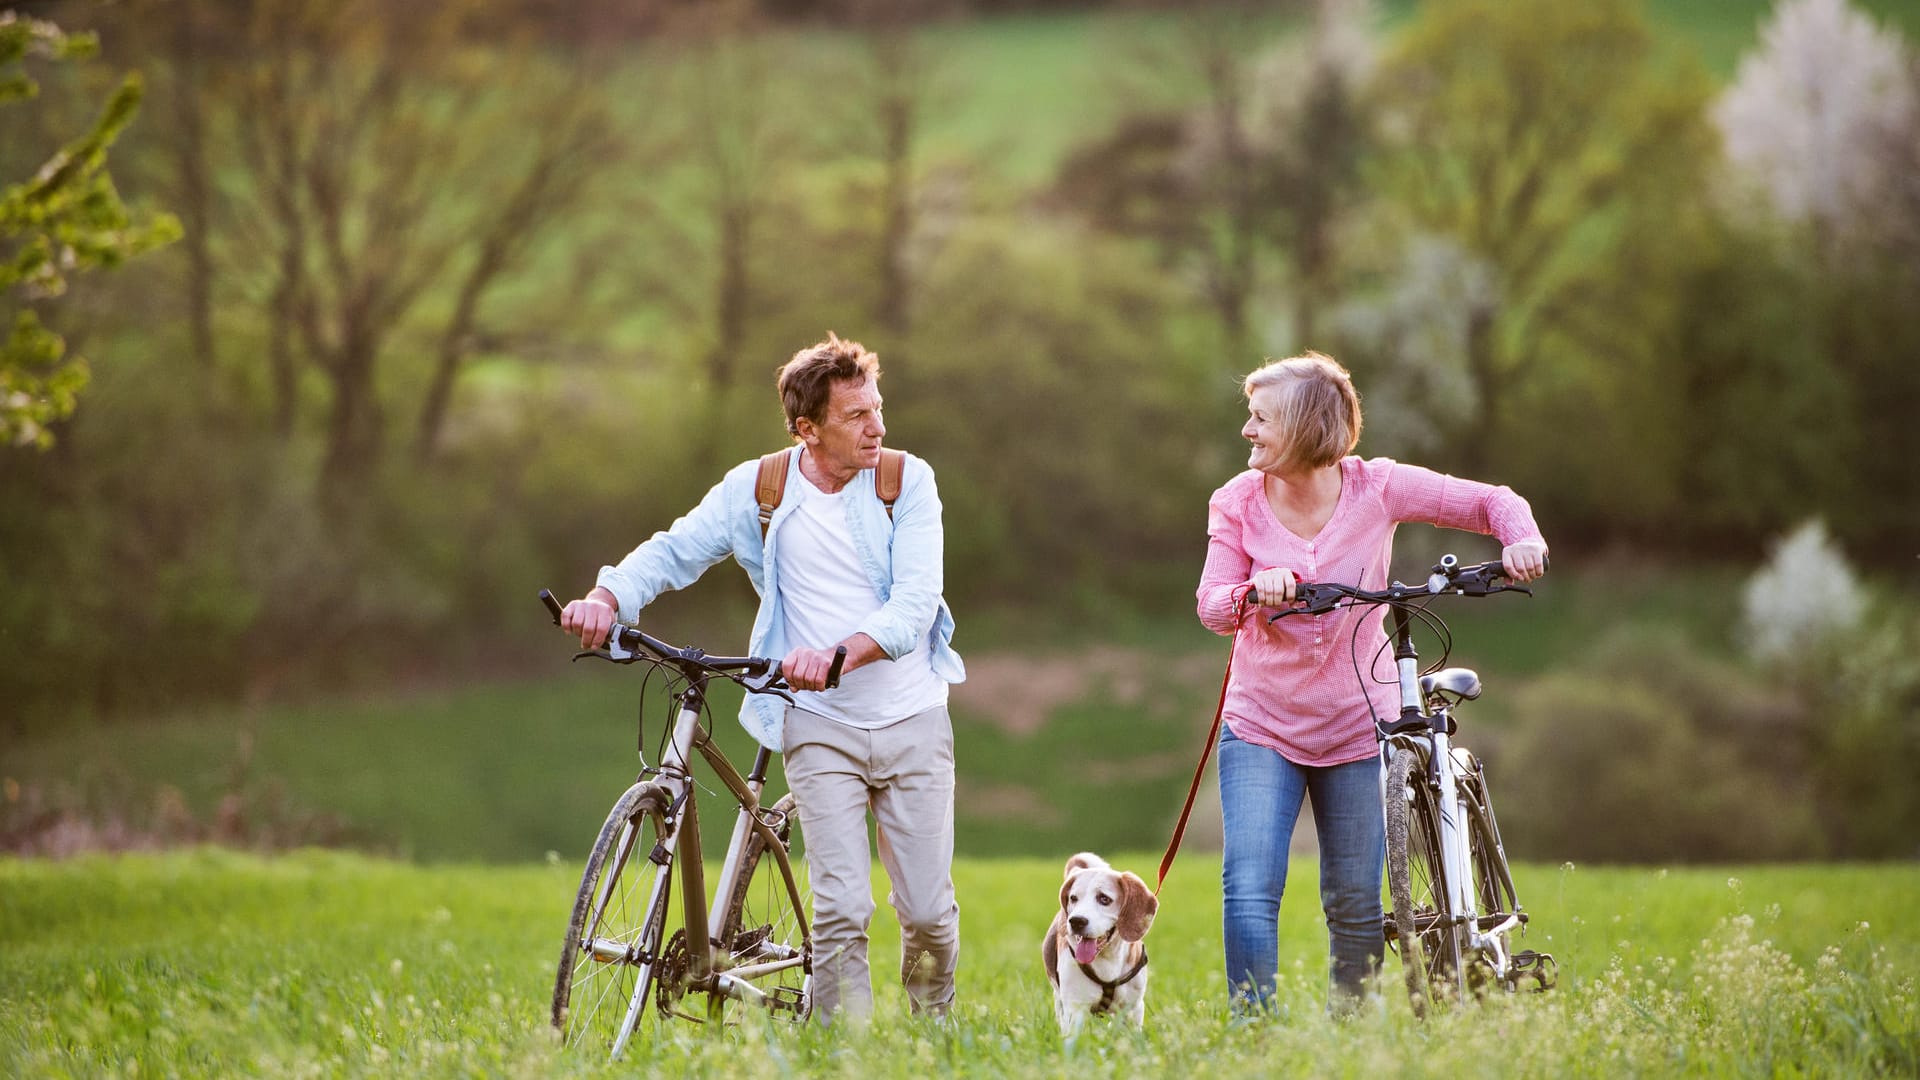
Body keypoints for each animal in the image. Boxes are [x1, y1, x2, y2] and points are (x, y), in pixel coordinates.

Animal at [1052, 849, 1152, 1037]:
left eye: (1104, 899)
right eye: (1073, 898)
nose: (1076, 921)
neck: (1107, 958)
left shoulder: (1133, 1008)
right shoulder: (1075, 1007)